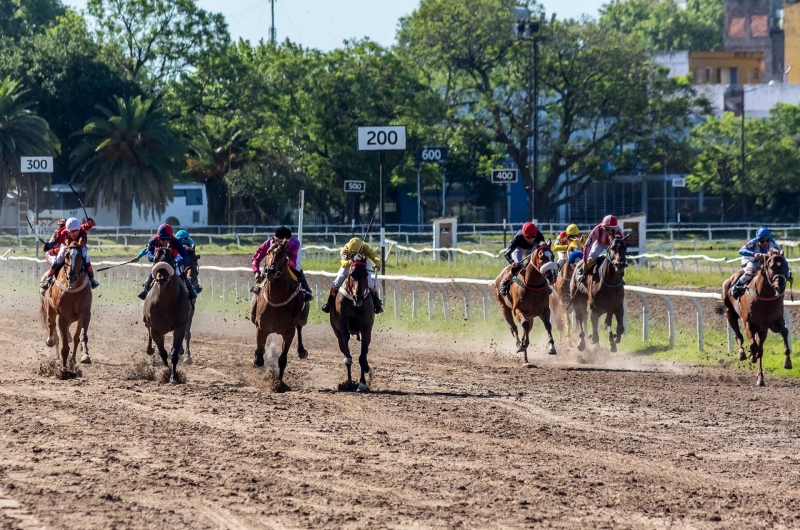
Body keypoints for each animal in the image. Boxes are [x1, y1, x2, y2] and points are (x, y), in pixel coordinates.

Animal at [41, 240, 93, 368]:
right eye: (67, 255)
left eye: (80, 257)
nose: (72, 277)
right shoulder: (62, 316)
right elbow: (64, 344)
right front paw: (64, 368)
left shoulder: (84, 313)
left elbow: (81, 336)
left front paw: (84, 356)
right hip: (49, 309)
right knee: (50, 323)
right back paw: (50, 341)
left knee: (74, 337)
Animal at [143, 245, 195, 382]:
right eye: (155, 259)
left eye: (170, 259)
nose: (161, 278)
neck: (166, 301)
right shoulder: (155, 328)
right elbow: (162, 353)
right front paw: (166, 372)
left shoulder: (180, 325)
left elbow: (174, 352)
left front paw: (173, 376)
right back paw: (150, 350)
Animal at [253, 239, 310, 388]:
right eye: (268, 252)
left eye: (283, 254)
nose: (270, 271)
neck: (276, 298)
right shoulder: (262, 327)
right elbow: (259, 357)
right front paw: (257, 359)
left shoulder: (289, 331)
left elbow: (283, 359)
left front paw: (279, 384)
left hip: (302, 318)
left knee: (300, 327)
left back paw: (302, 351)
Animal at [328, 258, 376, 390]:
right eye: (351, 274)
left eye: (365, 274)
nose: (357, 297)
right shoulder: (342, 324)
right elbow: (347, 356)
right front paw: (350, 382)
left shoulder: (366, 328)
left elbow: (362, 357)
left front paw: (362, 383)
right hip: (336, 332)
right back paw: (349, 382)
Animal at [716, 252, 792, 384]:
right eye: (771, 266)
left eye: (784, 266)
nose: (780, 286)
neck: (765, 296)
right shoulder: (749, 324)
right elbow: (752, 345)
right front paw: (750, 355)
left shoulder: (773, 322)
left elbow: (784, 331)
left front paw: (787, 362)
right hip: (730, 313)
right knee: (738, 336)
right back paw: (742, 354)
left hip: (762, 329)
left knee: (759, 349)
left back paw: (760, 379)